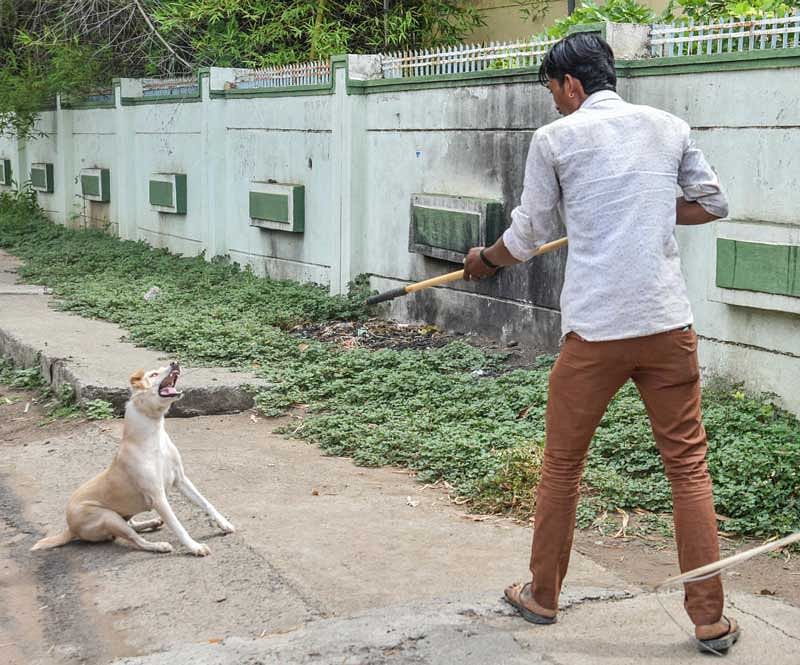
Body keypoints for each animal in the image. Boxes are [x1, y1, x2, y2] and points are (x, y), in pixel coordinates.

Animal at [32, 364, 238, 556]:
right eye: (153, 374)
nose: (175, 362)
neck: (154, 435)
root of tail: (70, 528)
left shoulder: (181, 479)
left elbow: (205, 503)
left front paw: (224, 524)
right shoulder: (158, 496)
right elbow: (178, 526)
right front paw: (195, 547)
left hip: (122, 515)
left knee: (132, 526)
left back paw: (152, 522)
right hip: (108, 517)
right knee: (135, 540)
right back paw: (159, 545)